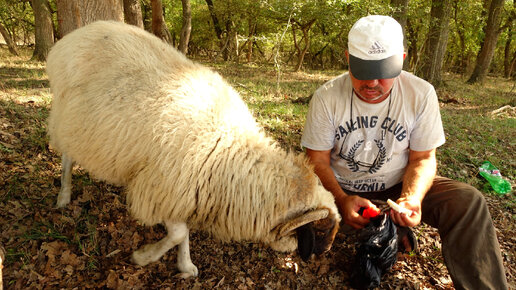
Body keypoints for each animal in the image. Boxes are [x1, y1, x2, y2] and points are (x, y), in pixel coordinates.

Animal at [46, 20, 340, 276]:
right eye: (318, 230)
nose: (319, 256)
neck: (231, 155)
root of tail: (75, 35)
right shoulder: (163, 186)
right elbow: (178, 233)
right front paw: (144, 257)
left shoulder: (184, 190)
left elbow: (182, 231)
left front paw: (185, 266)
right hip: (69, 115)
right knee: (67, 157)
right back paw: (63, 196)